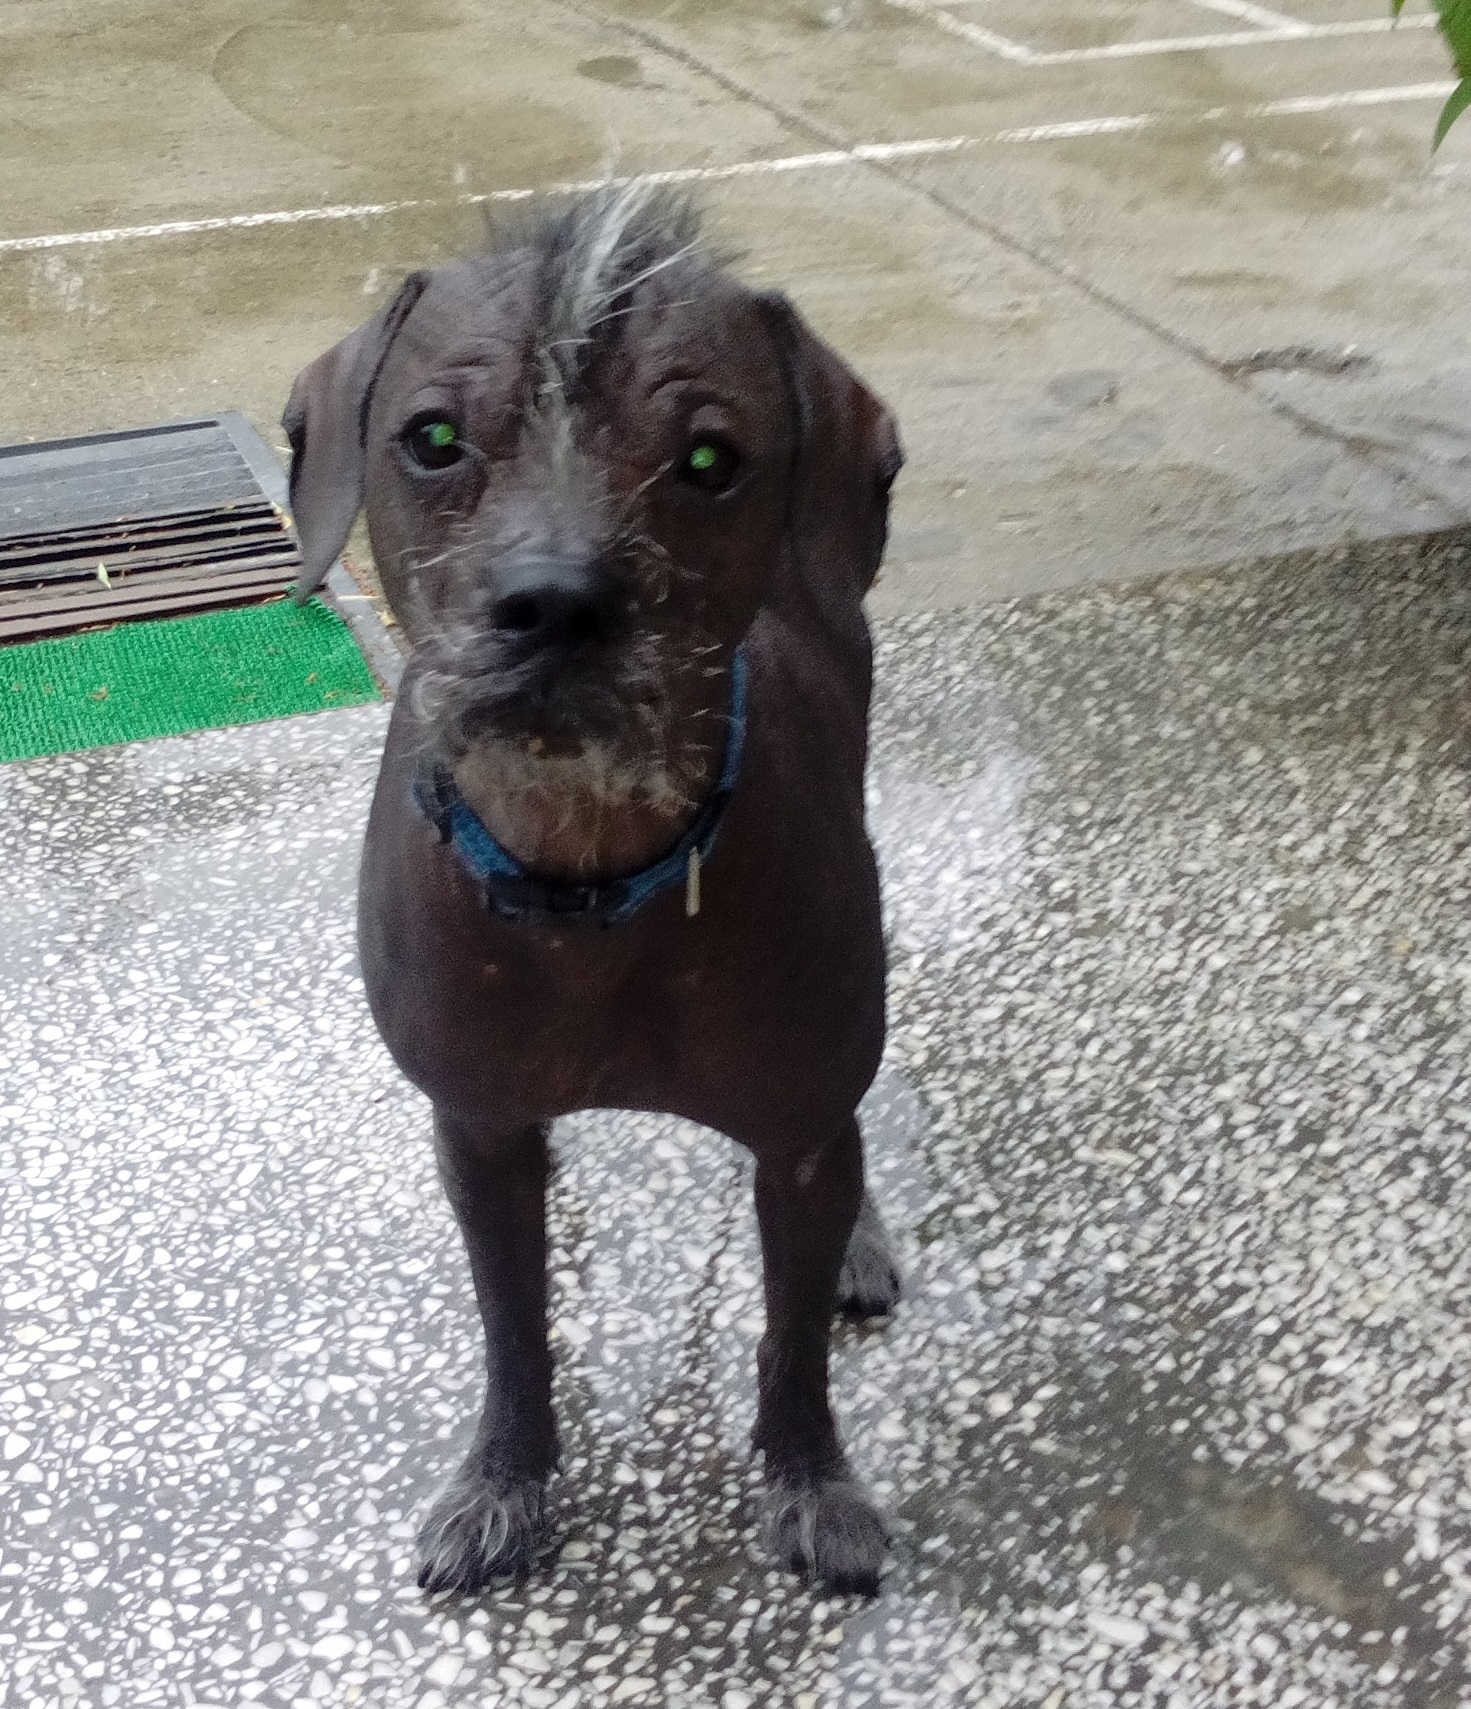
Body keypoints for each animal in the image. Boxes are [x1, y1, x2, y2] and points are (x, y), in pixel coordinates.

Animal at [282, 185, 904, 1596]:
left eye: (710, 459)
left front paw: (811, 1479)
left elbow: (789, 1341)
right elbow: (514, 1330)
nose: (557, 602)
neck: (590, 881)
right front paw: (506, 1481)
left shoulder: (796, 1139)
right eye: (434, 439)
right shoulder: (476, 1127)